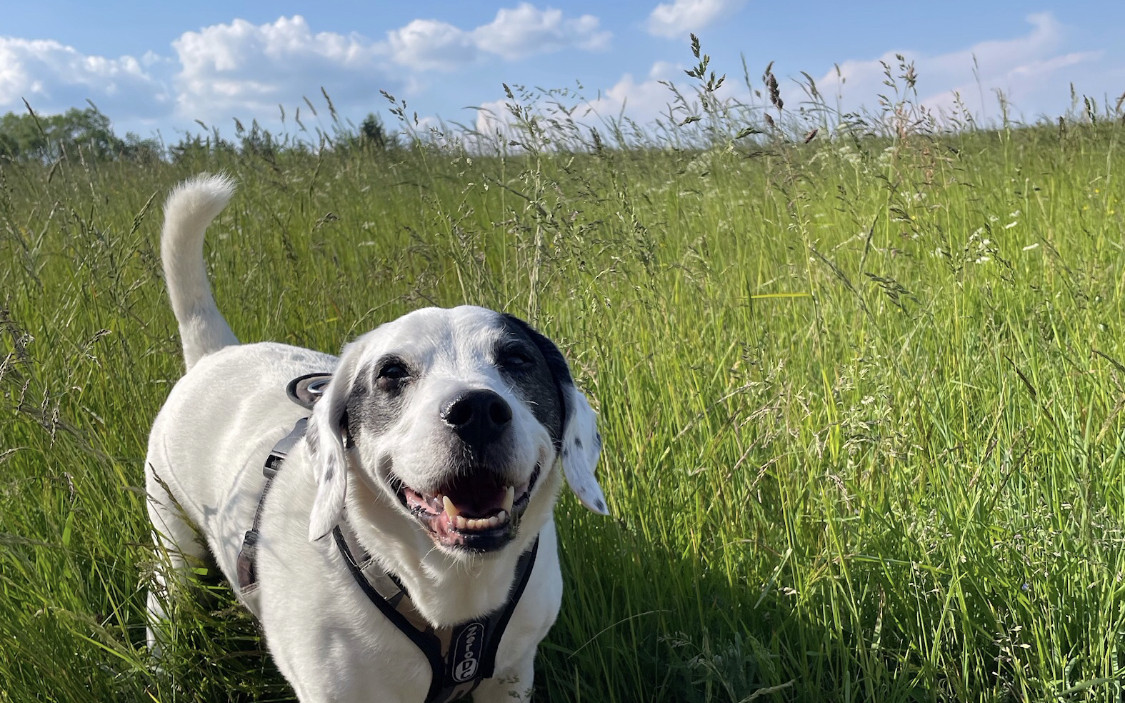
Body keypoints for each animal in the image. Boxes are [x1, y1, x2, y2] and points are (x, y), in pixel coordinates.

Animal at [146, 174, 612, 701]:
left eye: (517, 359)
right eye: (391, 372)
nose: (476, 411)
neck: (452, 588)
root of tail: (214, 352)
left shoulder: (511, 675)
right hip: (170, 542)